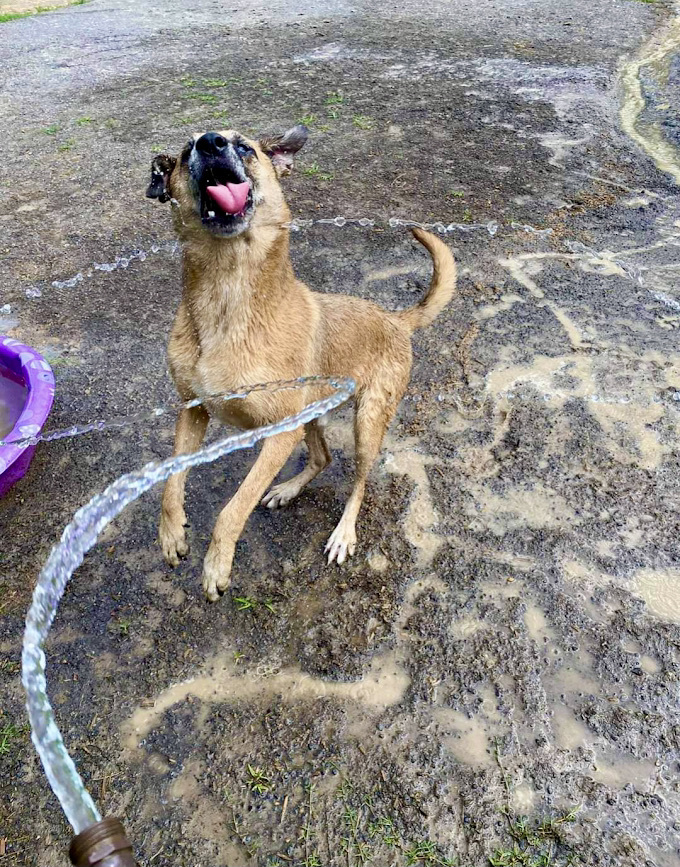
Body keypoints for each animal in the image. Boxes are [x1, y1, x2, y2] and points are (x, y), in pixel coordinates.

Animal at [148, 127, 456, 604]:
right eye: (185, 153)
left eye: (244, 147)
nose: (211, 141)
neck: (227, 299)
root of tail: (394, 319)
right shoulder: (193, 412)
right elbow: (170, 484)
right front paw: (172, 533)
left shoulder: (278, 433)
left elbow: (232, 509)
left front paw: (216, 565)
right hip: (311, 413)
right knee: (322, 456)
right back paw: (289, 489)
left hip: (367, 422)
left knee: (359, 480)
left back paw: (343, 534)